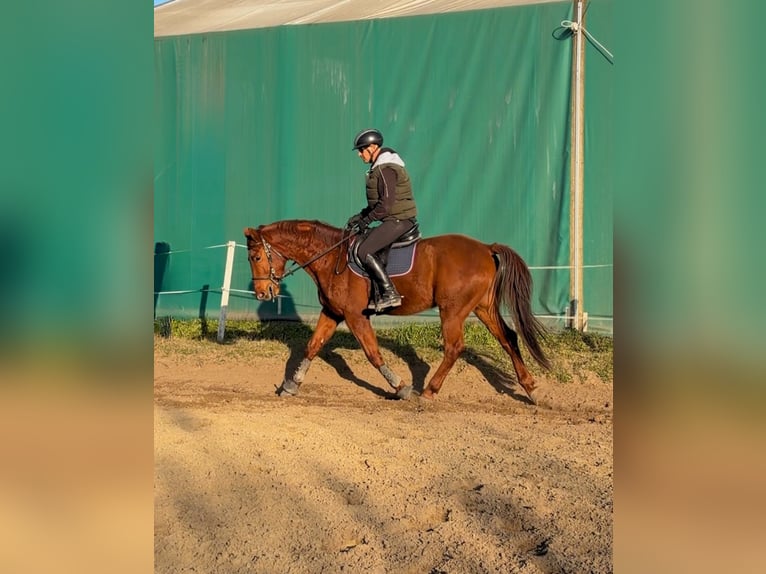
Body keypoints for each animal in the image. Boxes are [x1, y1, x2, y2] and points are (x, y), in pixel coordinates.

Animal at [244, 220, 551, 403]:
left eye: (256, 257)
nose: (262, 293)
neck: (331, 257)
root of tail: (486, 248)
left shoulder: (355, 316)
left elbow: (373, 353)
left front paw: (400, 387)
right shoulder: (332, 312)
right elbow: (312, 346)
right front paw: (291, 385)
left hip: (453, 310)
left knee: (454, 347)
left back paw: (428, 391)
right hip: (483, 307)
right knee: (508, 338)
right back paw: (530, 388)